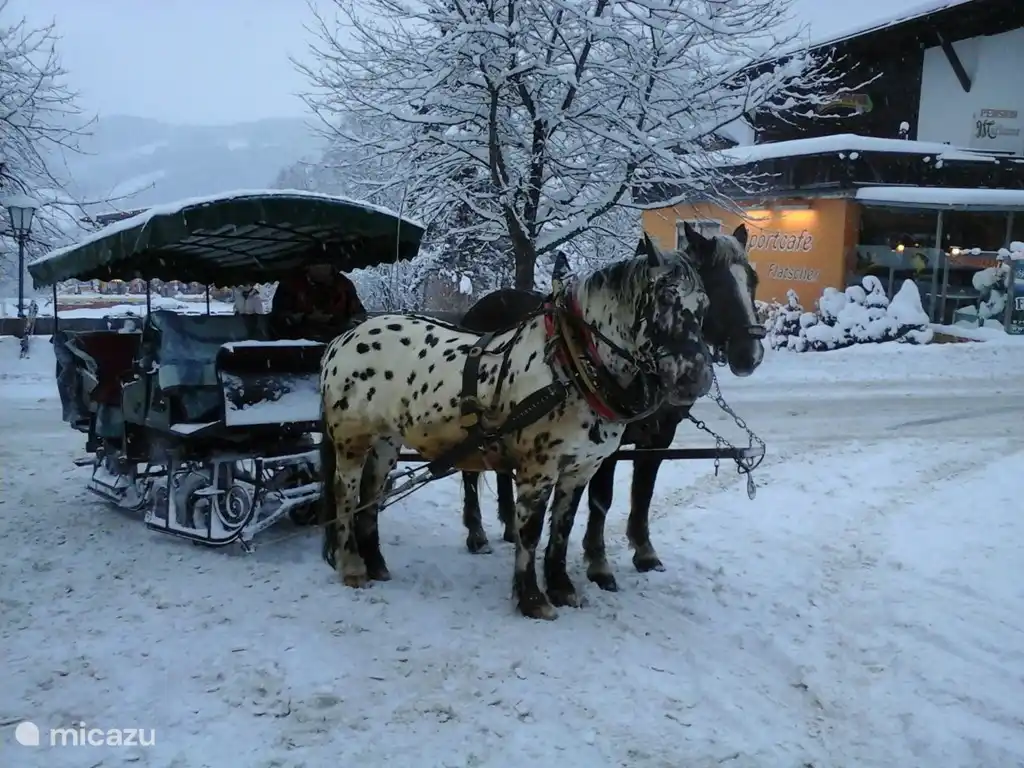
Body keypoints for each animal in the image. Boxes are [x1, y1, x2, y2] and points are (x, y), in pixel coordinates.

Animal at [317, 235, 714, 619]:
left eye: (705, 304)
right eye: (665, 297)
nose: (696, 378)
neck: (569, 368)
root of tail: (343, 340)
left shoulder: (579, 470)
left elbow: (562, 529)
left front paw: (562, 588)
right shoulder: (538, 470)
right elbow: (530, 533)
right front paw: (532, 599)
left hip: (386, 442)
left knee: (370, 497)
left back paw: (376, 564)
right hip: (352, 441)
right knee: (346, 496)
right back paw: (353, 567)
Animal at [460, 222, 765, 591]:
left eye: (753, 279)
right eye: (717, 283)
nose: (750, 355)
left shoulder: (658, 438)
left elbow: (643, 491)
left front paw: (644, 551)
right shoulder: (608, 443)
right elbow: (601, 499)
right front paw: (598, 563)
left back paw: (507, 525)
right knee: (469, 472)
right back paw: (476, 533)